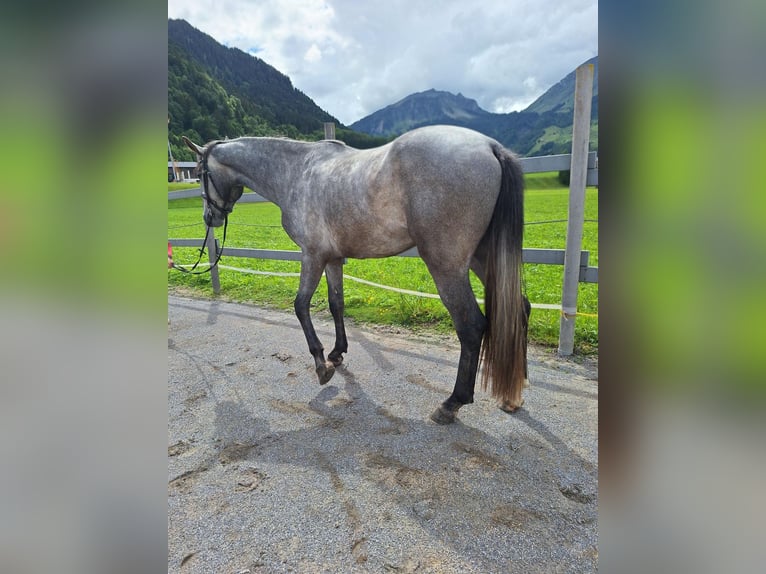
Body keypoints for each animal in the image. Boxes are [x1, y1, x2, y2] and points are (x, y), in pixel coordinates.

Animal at [183, 125, 529, 424]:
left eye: (199, 174)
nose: (210, 217)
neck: (296, 172)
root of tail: (489, 146)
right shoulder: (333, 259)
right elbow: (336, 304)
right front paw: (337, 353)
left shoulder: (312, 255)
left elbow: (301, 305)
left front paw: (322, 365)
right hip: (483, 258)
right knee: (521, 309)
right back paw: (514, 394)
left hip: (447, 266)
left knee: (471, 326)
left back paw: (452, 403)